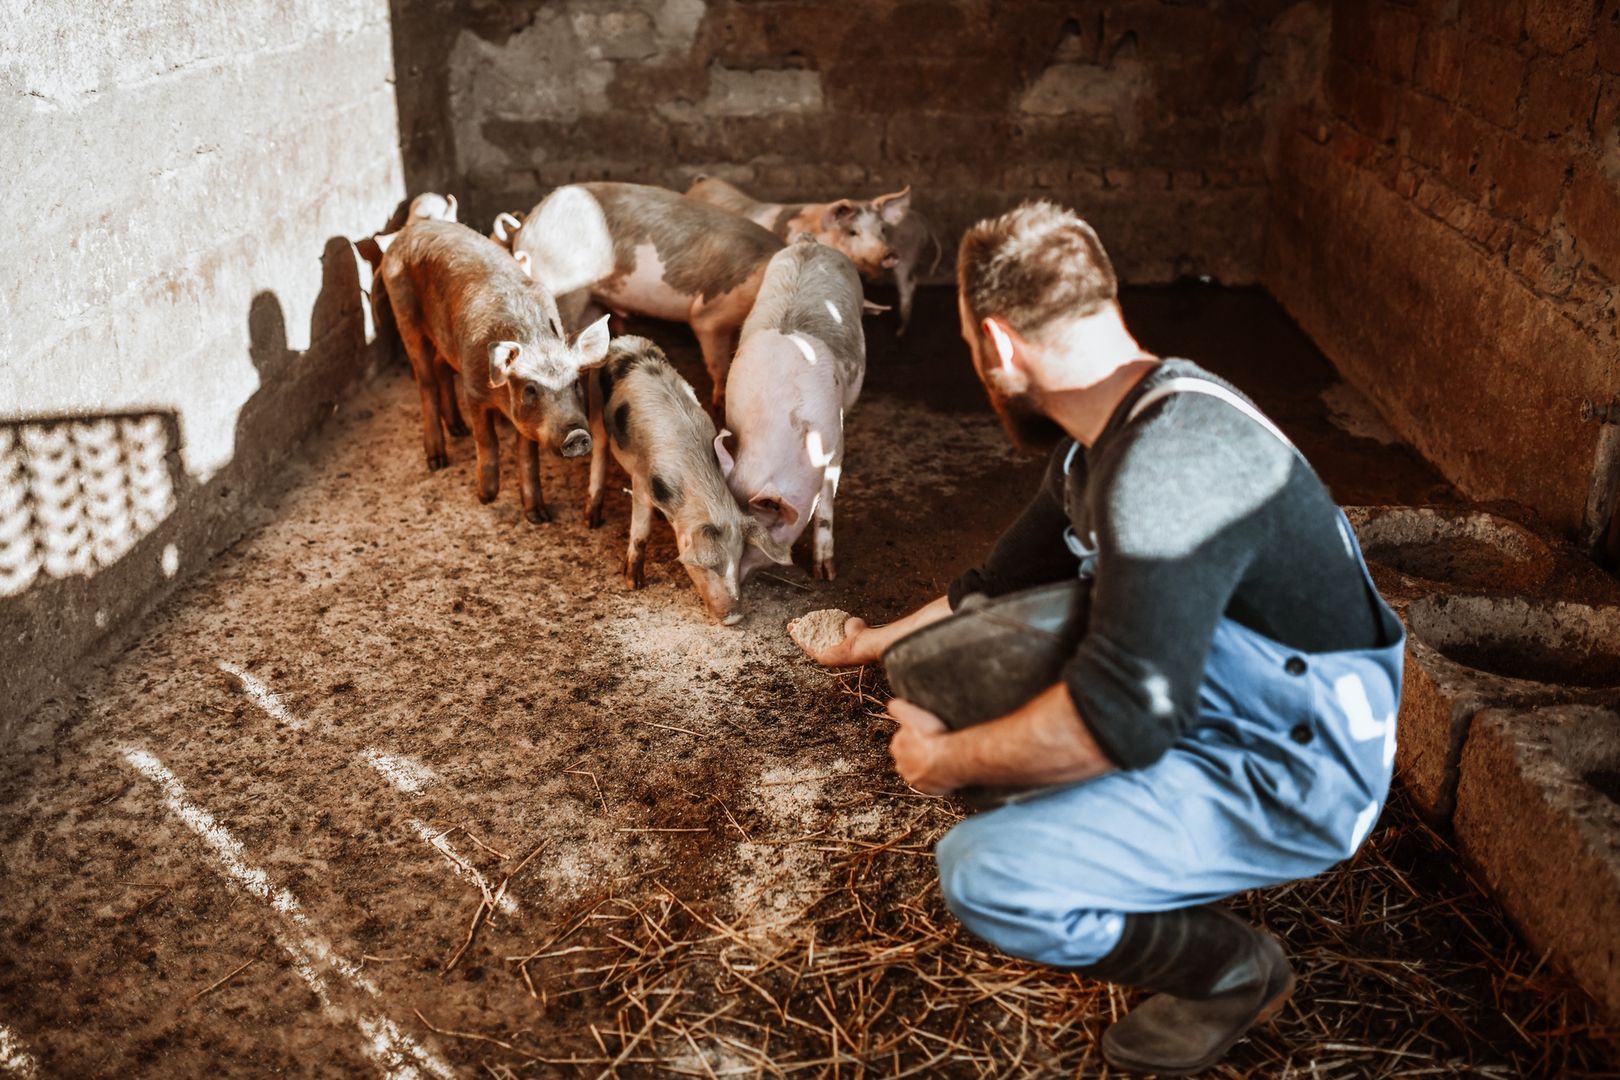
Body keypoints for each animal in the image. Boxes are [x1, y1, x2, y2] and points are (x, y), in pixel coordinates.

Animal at [379, 216, 612, 521]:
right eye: (530, 389)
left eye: (575, 383)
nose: (577, 434)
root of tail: (408, 230)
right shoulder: (474, 393)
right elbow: (488, 441)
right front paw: (486, 498)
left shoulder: (523, 421)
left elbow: (528, 458)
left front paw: (540, 517)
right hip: (405, 315)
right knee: (425, 381)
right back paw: (437, 461)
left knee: (441, 368)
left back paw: (458, 430)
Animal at [586, 338, 787, 625]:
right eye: (707, 566)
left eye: (738, 558)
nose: (734, 618)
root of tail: (622, 341)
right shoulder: (641, 478)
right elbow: (640, 532)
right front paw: (633, 584)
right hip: (594, 405)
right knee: (599, 452)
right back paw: (591, 520)